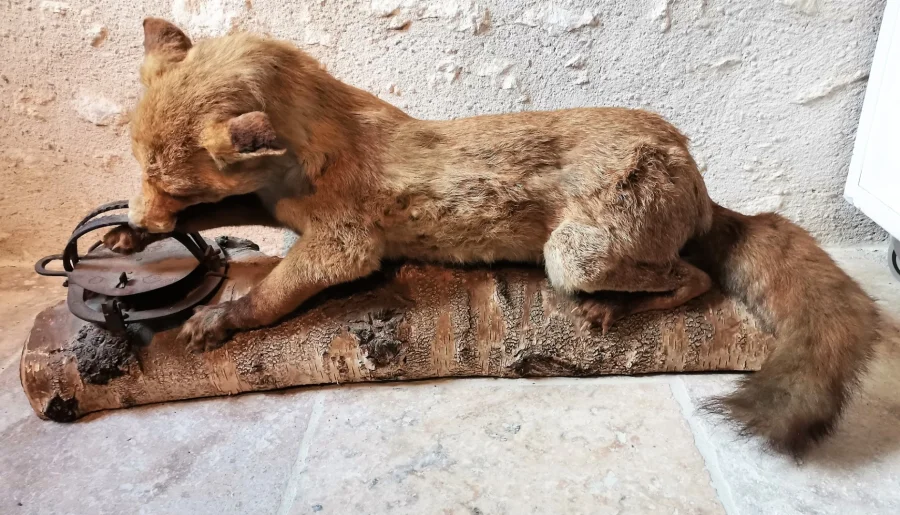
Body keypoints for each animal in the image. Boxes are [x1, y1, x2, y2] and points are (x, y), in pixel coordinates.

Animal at [105, 18, 880, 456]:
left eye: (175, 182)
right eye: (139, 165)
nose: (148, 218)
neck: (322, 147)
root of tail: (690, 166)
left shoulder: (342, 246)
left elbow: (270, 293)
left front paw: (220, 316)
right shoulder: (272, 204)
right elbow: (226, 222)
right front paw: (123, 234)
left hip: (574, 257)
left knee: (694, 276)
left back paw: (617, 309)